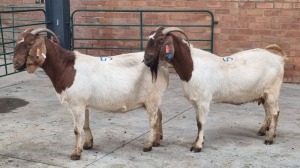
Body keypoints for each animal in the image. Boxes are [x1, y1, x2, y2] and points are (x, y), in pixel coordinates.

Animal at [13, 27, 169, 160]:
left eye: (30, 42)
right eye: (17, 42)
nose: (15, 62)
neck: (66, 67)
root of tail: (161, 65)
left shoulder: (76, 105)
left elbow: (77, 130)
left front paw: (76, 153)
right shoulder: (84, 104)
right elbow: (85, 125)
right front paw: (88, 144)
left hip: (152, 98)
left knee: (153, 120)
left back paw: (148, 145)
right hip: (153, 99)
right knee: (159, 115)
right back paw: (157, 140)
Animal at [144, 26, 288, 152]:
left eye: (160, 41)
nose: (146, 60)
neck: (192, 67)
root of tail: (279, 58)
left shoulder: (203, 101)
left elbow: (201, 122)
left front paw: (197, 146)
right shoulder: (195, 101)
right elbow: (197, 122)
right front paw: (197, 141)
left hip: (272, 91)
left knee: (275, 112)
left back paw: (270, 138)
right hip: (264, 93)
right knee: (269, 111)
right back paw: (263, 131)